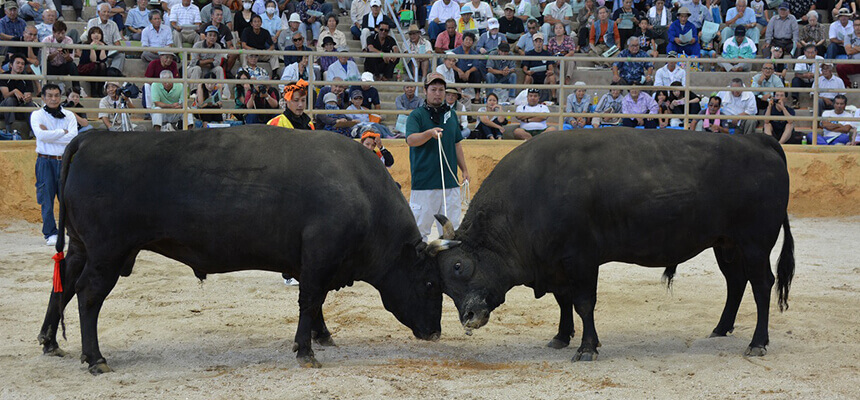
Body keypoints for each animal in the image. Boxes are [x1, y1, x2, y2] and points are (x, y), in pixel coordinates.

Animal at [37, 126, 446, 374]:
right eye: (430, 285)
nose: (435, 332)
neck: (362, 191)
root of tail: (94, 136)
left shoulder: (310, 263)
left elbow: (315, 304)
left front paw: (321, 335)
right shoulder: (319, 260)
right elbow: (311, 301)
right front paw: (305, 350)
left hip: (81, 248)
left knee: (64, 285)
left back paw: (49, 341)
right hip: (107, 255)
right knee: (88, 295)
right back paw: (95, 358)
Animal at [434, 129, 796, 362]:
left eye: (459, 266)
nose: (469, 316)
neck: (529, 195)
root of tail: (757, 140)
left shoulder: (581, 259)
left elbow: (583, 303)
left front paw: (586, 348)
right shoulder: (556, 264)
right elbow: (563, 302)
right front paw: (562, 337)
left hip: (754, 244)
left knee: (762, 285)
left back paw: (758, 342)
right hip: (726, 245)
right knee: (736, 283)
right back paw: (721, 329)